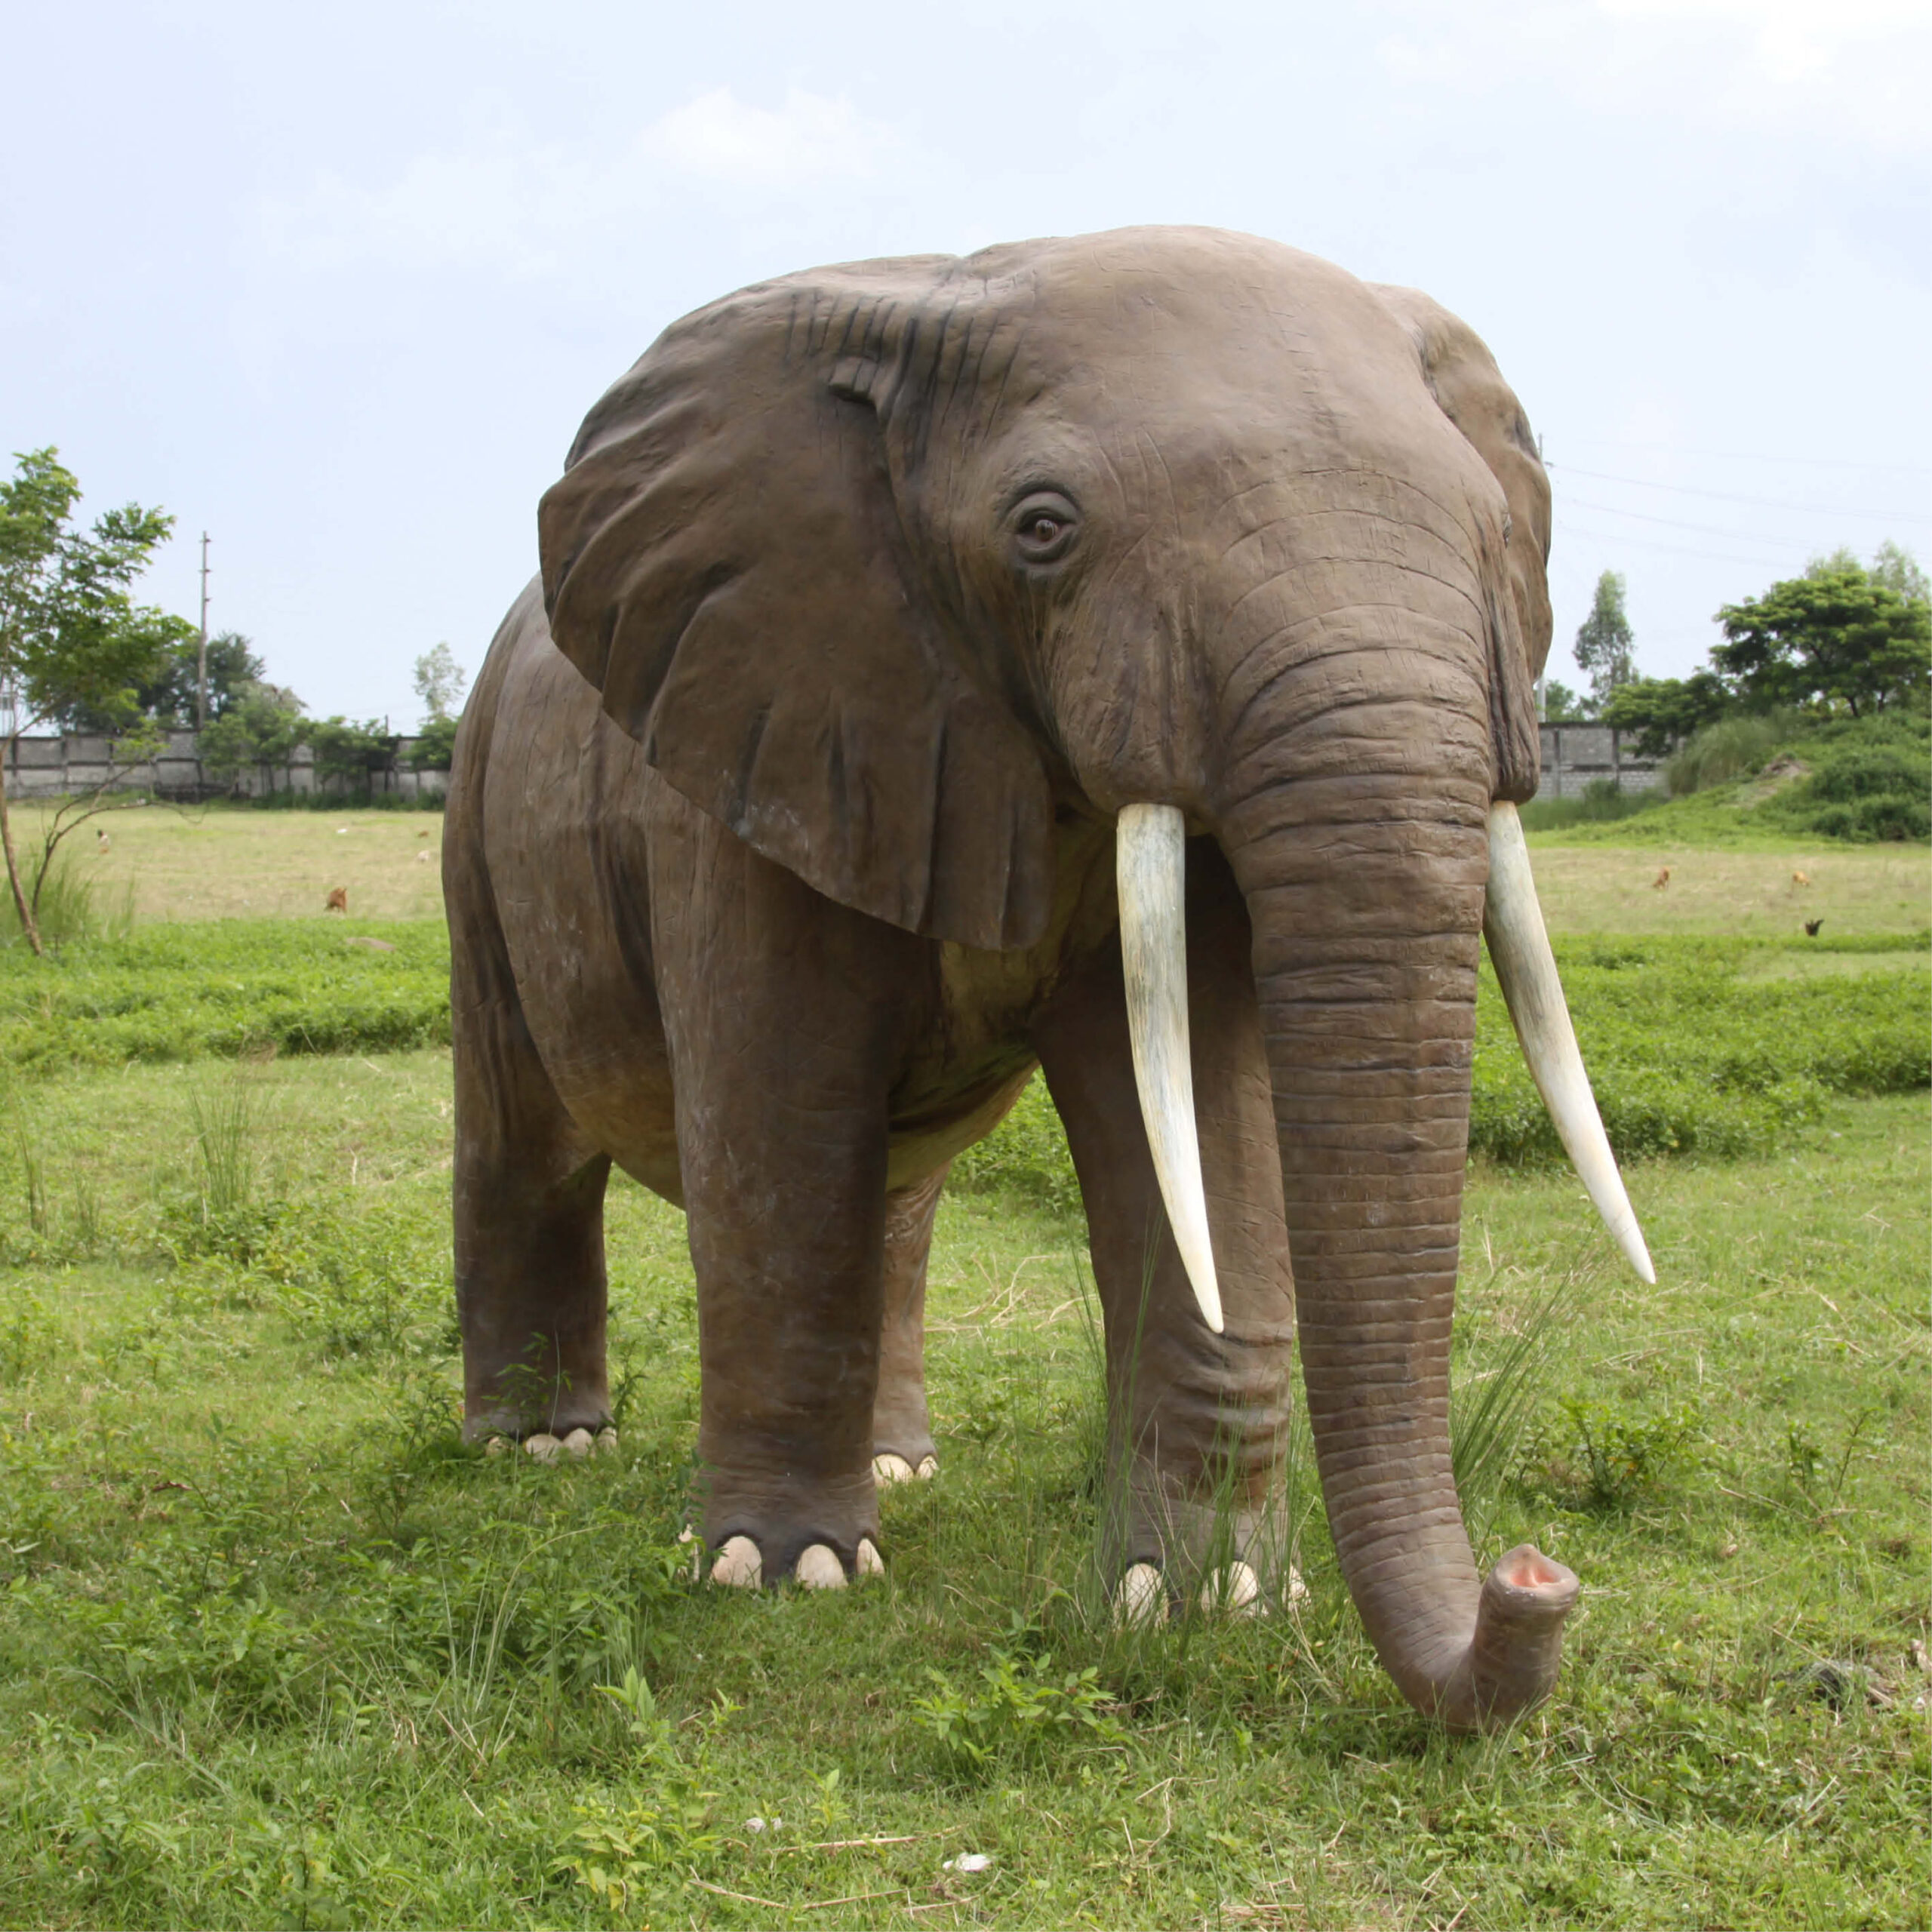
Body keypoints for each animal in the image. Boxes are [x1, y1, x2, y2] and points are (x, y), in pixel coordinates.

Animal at [444, 226, 1654, 1730]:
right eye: (1042, 531)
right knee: (525, 1139)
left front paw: (1201, 1602)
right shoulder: (754, 732)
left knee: (894, 1199)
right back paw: (540, 1452)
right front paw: (779, 1575)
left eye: (1496, 533)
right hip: (478, 819)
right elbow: (779, 1140)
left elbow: (1199, 1130)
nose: (1536, 1579)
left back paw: (900, 1466)